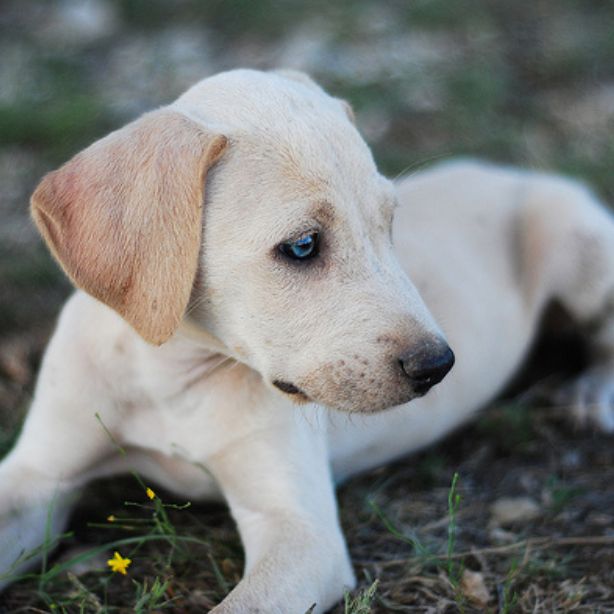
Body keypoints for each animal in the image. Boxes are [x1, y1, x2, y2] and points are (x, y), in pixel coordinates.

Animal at [1, 70, 614, 612]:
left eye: (389, 226)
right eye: (302, 246)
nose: (438, 366)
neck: (171, 376)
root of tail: (512, 169)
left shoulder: (300, 534)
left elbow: (241, 608)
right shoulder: (38, 479)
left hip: (582, 248)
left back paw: (592, 395)